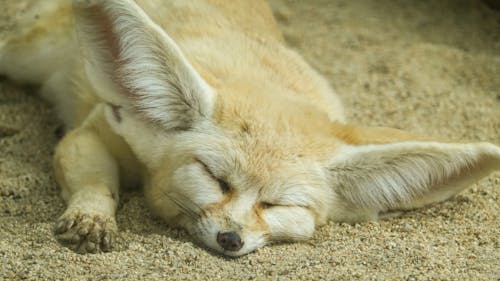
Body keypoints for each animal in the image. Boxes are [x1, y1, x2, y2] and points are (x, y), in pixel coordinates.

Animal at [0, 0, 500, 256]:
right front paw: (92, 217)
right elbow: (95, 179)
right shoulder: (100, 127)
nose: (231, 239)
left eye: (277, 204)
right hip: (21, 51)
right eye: (215, 179)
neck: (264, 77)